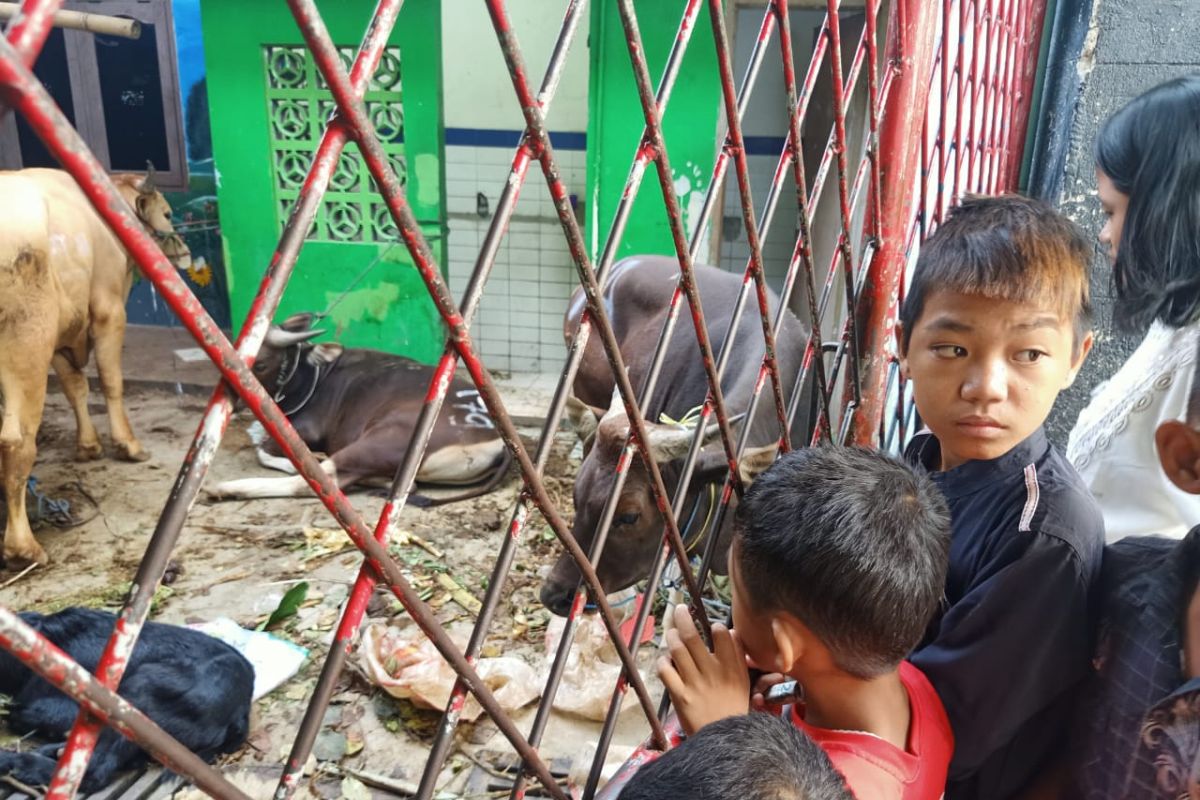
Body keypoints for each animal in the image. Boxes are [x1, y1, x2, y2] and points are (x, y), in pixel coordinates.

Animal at [0, 165, 189, 566]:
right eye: (167, 214)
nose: (181, 251)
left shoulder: (65, 330)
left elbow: (76, 387)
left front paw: (88, 445)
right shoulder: (107, 312)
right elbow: (110, 380)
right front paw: (128, 445)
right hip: (27, 341)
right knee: (16, 440)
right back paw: (23, 547)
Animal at [208, 314, 508, 506]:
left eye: (260, 364)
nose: (233, 402)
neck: (313, 377)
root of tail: (499, 442)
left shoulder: (306, 430)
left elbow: (262, 450)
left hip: (379, 442)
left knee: (318, 482)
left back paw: (227, 489)